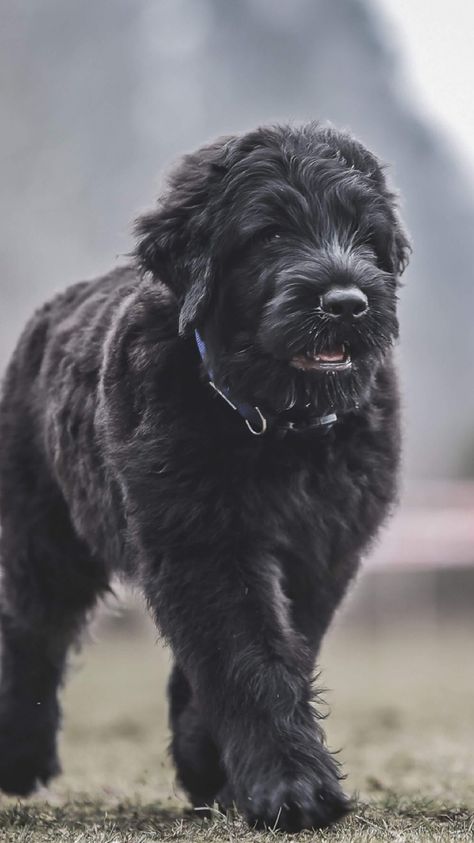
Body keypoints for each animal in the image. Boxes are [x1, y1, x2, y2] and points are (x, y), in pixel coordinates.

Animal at [0, 122, 408, 836]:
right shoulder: (202, 541)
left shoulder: (320, 553)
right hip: (43, 536)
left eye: (366, 234)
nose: (346, 303)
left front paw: (215, 766)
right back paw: (21, 758)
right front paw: (293, 787)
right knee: (31, 631)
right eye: (270, 232)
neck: (277, 426)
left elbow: (272, 648)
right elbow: (247, 655)